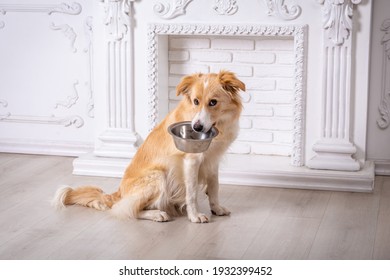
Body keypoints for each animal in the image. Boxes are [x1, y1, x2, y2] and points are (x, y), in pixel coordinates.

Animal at [52, 70, 244, 223]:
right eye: (196, 101)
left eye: (213, 102)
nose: (196, 127)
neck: (218, 126)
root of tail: (119, 193)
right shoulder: (191, 160)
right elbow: (191, 194)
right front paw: (195, 216)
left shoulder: (213, 160)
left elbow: (214, 187)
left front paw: (216, 208)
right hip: (158, 176)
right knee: (126, 209)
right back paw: (157, 214)